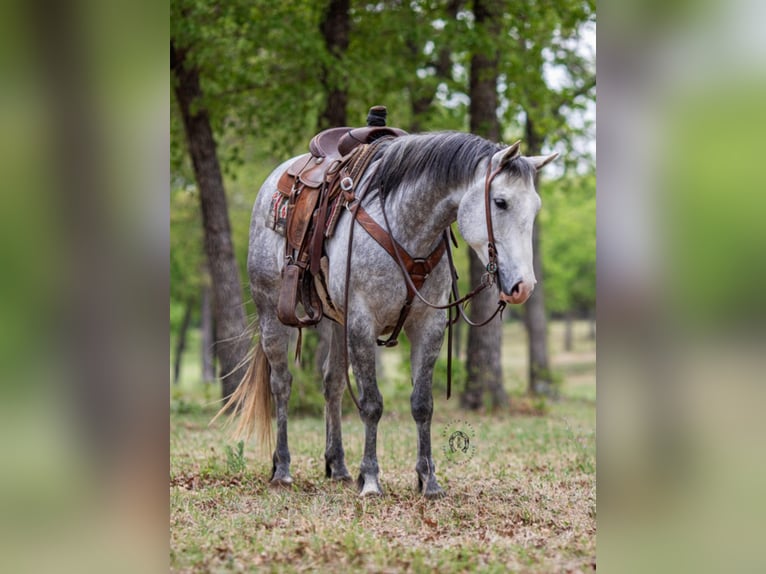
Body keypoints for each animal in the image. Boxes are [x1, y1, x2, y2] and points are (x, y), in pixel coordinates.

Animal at [219, 130, 556, 500]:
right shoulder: (362, 323)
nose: (523, 286)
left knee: (332, 384)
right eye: (500, 202)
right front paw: (370, 479)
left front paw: (428, 480)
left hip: (336, 323)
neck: (403, 225)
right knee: (281, 384)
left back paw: (338, 466)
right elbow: (372, 404)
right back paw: (282, 469)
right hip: (272, 312)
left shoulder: (428, 325)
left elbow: (422, 403)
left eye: (536, 207)